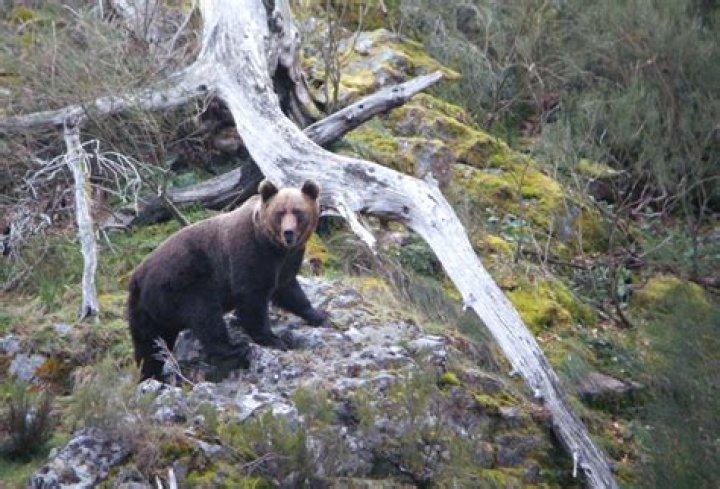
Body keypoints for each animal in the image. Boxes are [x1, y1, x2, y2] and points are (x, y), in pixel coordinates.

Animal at [127, 179, 328, 380]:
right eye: (279, 212)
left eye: (298, 211)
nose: (288, 233)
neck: (274, 247)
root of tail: (138, 276)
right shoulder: (251, 253)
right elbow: (252, 298)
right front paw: (273, 339)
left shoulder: (286, 261)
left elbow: (289, 290)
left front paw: (319, 315)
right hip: (183, 283)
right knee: (205, 315)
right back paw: (234, 348)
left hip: (145, 311)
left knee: (149, 345)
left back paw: (152, 375)